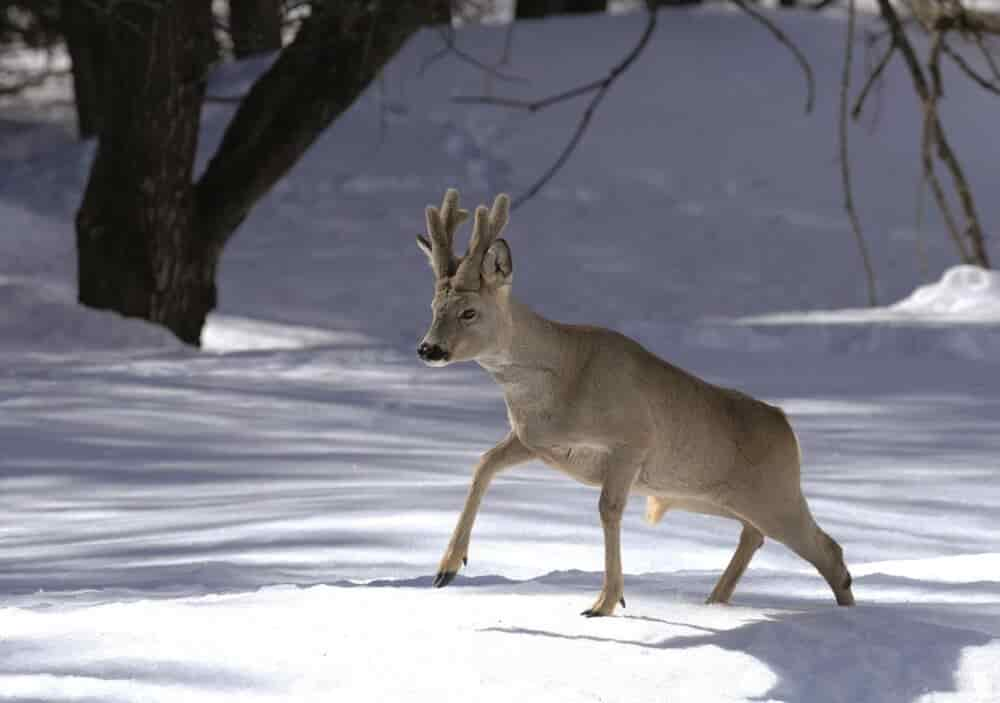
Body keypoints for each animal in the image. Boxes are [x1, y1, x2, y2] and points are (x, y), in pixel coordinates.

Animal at [414, 187, 852, 616]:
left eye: (470, 311)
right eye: (434, 307)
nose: (428, 349)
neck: (563, 376)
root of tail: (787, 426)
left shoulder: (632, 440)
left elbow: (608, 509)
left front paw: (605, 602)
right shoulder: (534, 439)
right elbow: (483, 464)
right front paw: (446, 569)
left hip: (775, 492)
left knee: (829, 551)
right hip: (712, 496)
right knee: (755, 535)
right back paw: (714, 600)